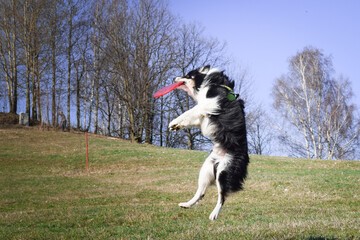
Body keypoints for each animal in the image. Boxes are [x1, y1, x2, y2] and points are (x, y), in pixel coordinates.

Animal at [169, 64, 249, 220]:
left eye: (187, 75)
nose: (174, 77)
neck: (210, 81)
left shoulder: (210, 103)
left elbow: (189, 111)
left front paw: (173, 122)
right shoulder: (203, 115)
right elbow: (191, 118)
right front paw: (177, 126)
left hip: (224, 172)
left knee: (222, 196)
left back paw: (214, 214)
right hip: (206, 169)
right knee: (201, 192)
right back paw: (186, 204)